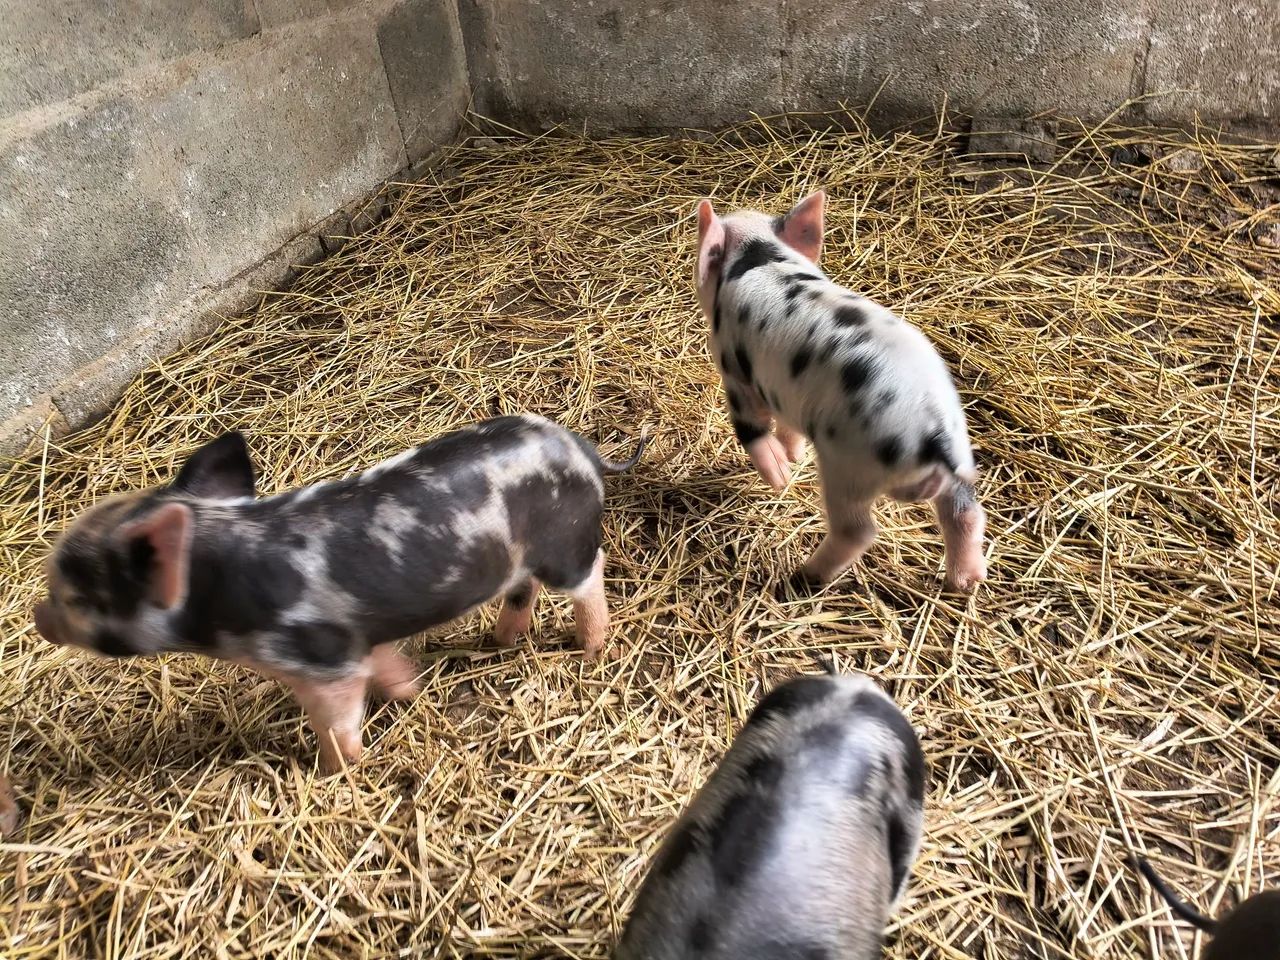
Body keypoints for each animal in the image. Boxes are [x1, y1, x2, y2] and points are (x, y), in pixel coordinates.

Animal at [33, 415, 647, 774]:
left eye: (76, 596)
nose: (39, 614)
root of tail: (585, 451)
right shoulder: (360, 637)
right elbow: (387, 667)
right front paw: (409, 692)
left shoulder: (324, 660)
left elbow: (337, 722)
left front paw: (334, 769)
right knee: (522, 591)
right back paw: (499, 642)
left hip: (566, 548)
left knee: (591, 576)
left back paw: (592, 649)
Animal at [695, 191, 988, 592]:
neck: (759, 255)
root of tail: (935, 433)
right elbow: (788, 427)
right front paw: (793, 457)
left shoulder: (735, 372)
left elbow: (751, 429)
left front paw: (780, 477)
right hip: (958, 464)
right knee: (965, 512)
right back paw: (967, 581)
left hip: (848, 469)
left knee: (858, 531)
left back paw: (805, 576)